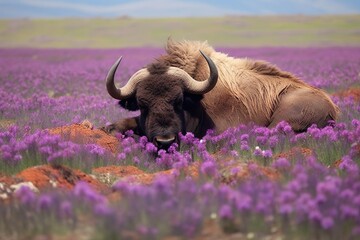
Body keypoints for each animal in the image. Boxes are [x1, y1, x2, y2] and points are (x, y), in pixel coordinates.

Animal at [102, 40, 340, 149]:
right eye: (142, 104)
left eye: (179, 101)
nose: (165, 140)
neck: (196, 100)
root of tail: (332, 109)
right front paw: (110, 130)